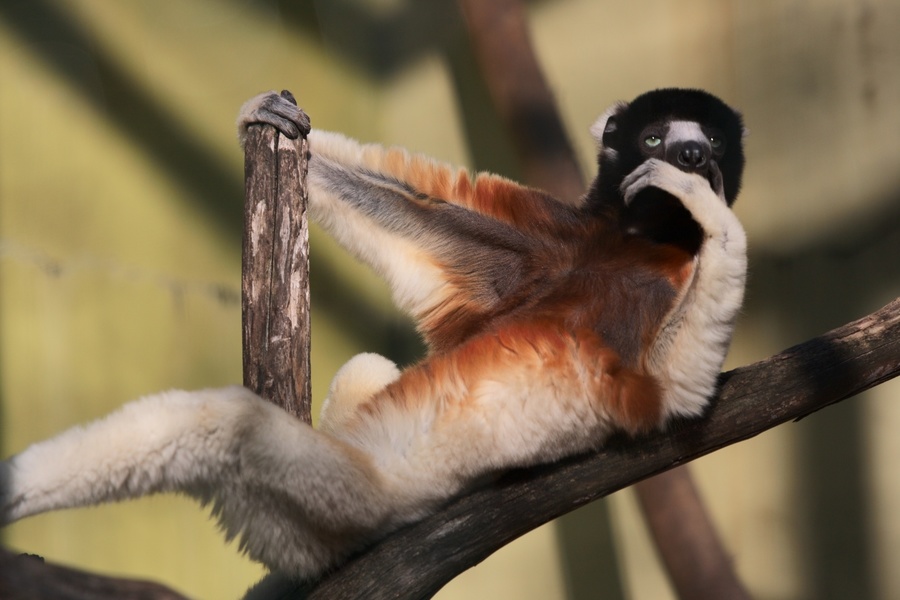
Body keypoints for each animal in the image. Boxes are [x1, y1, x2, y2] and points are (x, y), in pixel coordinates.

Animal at [0, 88, 747, 579]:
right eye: (655, 140)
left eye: (707, 149)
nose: (688, 157)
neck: (636, 242)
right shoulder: (553, 244)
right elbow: (414, 208)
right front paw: (259, 118)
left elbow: (678, 392)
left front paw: (713, 217)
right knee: (365, 365)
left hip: (342, 508)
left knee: (229, 430)